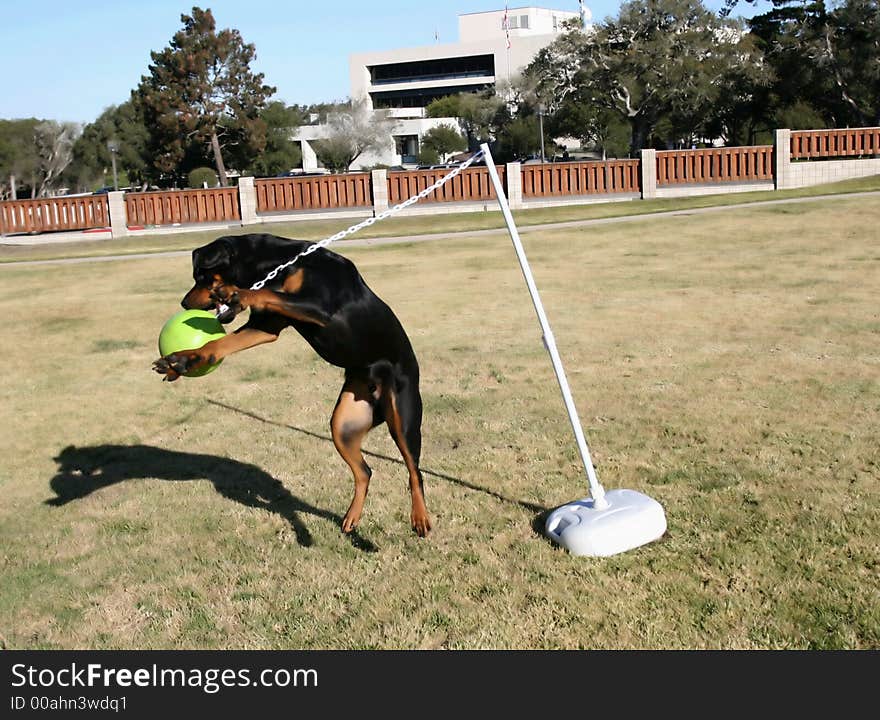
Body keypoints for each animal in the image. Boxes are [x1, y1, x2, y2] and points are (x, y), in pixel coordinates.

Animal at [153, 233, 432, 536]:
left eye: (200, 275)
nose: (184, 303)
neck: (281, 265)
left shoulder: (320, 308)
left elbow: (269, 293)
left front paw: (237, 292)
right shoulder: (266, 326)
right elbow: (219, 345)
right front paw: (182, 362)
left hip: (403, 418)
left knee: (414, 472)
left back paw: (420, 517)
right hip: (343, 426)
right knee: (365, 472)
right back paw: (348, 519)